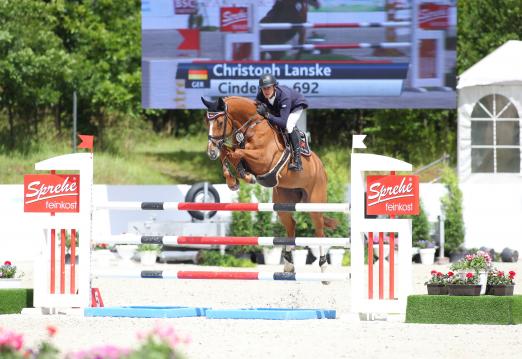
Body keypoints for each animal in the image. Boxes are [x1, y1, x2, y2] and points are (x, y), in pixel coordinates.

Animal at [201, 96, 336, 284]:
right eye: (207, 121)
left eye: (220, 122)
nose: (210, 152)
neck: (252, 126)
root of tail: (321, 167)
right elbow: (228, 153)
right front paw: (233, 180)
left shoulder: (263, 159)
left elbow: (235, 153)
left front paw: (244, 175)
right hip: (283, 202)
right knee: (291, 226)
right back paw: (288, 266)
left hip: (315, 203)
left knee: (319, 230)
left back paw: (324, 270)